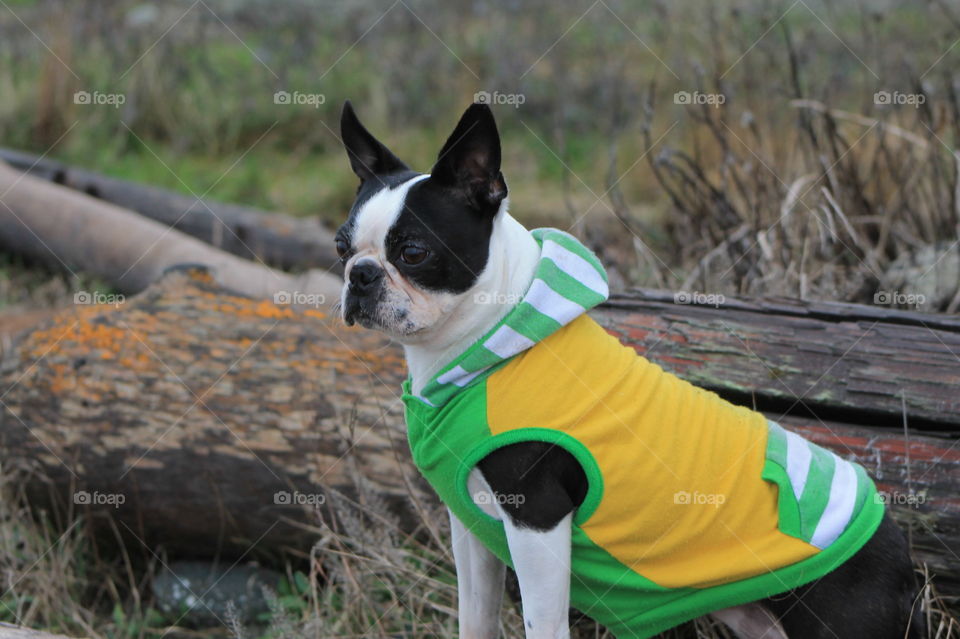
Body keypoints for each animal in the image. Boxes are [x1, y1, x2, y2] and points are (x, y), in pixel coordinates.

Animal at [332, 101, 924, 639]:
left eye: (413, 252)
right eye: (341, 246)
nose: (360, 275)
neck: (486, 340)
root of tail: (900, 552)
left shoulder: (537, 523)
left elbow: (543, 623)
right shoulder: (471, 528)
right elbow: (475, 617)